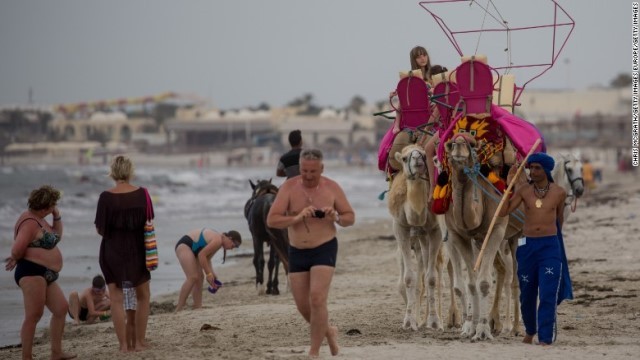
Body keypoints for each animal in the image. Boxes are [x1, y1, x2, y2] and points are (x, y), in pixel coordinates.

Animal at [384, 144, 444, 332]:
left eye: (424, 154)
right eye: (404, 158)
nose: (417, 158)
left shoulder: (435, 230)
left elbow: (431, 279)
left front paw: (434, 321)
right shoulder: (400, 228)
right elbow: (409, 279)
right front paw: (410, 321)